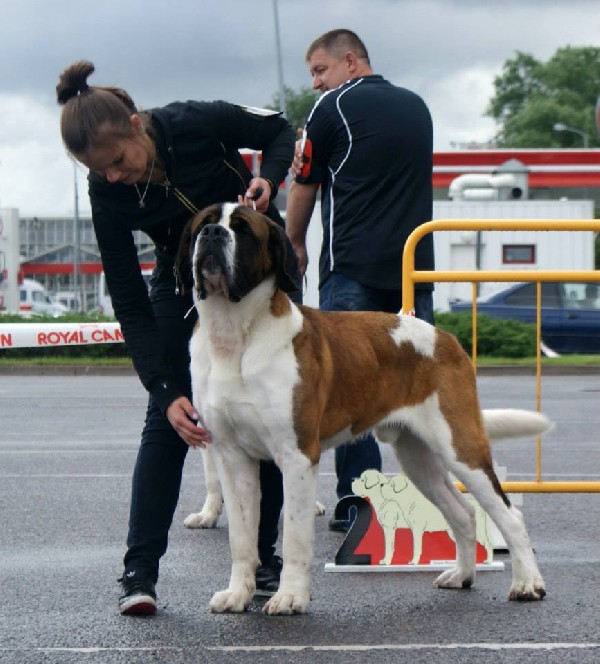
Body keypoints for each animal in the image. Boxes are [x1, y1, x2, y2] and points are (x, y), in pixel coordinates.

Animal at [175, 202, 548, 616]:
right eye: (202, 225)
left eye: (242, 229)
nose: (212, 234)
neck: (235, 334)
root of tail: (446, 338)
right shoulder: (232, 457)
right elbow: (242, 538)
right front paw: (238, 594)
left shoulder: (297, 456)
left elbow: (294, 538)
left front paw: (289, 597)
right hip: (418, 457)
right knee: (463, 512)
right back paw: (462, 575)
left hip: (460, 447)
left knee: (510, 515)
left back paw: (527, 584)